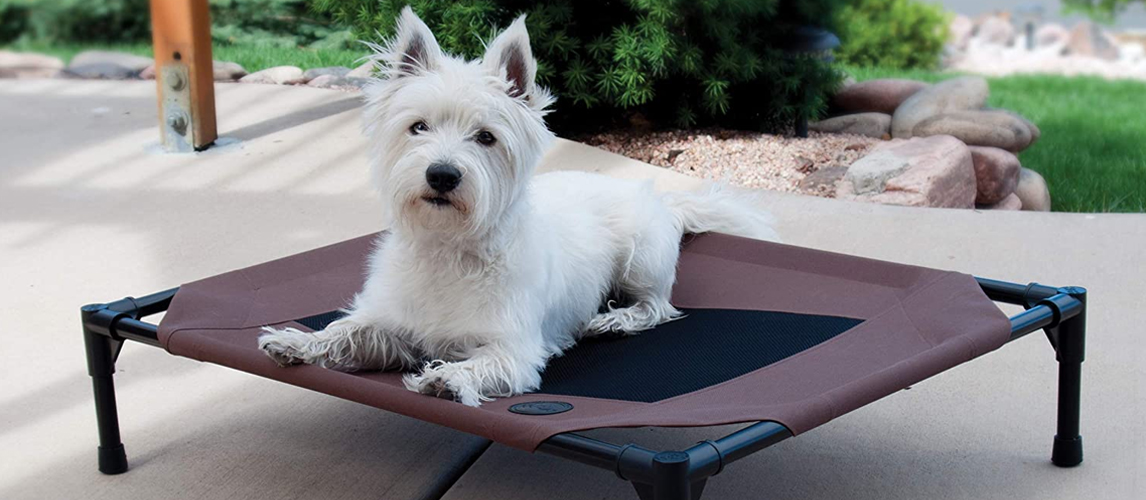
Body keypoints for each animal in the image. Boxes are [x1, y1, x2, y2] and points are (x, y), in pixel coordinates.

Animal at [258, 6, 779, 405]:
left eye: (486, 137)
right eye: (418, 126)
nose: (442, 174)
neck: (450, 249)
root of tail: (656, 197)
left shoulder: (514, 351)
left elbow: (484, 364)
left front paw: (448, 377)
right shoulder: (392, 323)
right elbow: (348, 331)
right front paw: (297, 341)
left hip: (642, 255)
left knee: (656, 306)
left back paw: (612, 319)